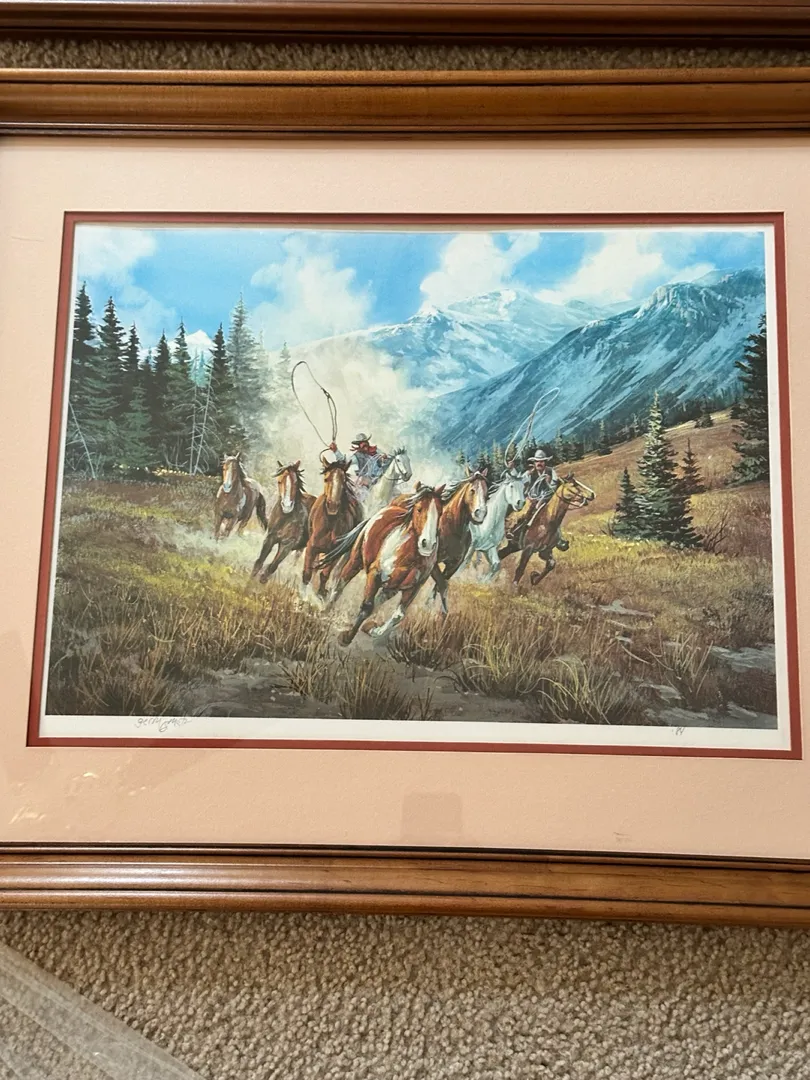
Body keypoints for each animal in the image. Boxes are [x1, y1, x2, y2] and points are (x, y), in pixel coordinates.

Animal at [302, 455, 363, 598]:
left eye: (344, 481)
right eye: (326, 479)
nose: (333, 506)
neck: (330, 524)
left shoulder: (334, 554)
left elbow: (325, 574)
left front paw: (320, 594)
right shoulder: (311, 547)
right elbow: (307, 573)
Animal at [320, 482, 445, 645]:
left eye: (440, 512)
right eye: (419, 509)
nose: (428, 544)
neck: (409, 557)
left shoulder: (412, 589)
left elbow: (398, 615)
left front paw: (374, 631)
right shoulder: (375, 574)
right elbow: (367, 607)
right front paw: (346, 638)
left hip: (390, 589)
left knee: (378, 601)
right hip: (355, 561)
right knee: (339, 585)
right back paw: (326, 610)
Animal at [430, 467, 489, 615]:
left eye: (486, 492)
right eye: (472, 490)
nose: (480, 514)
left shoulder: (454, 564)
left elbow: (441, 584)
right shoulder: (432, 563)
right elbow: (441, 584)